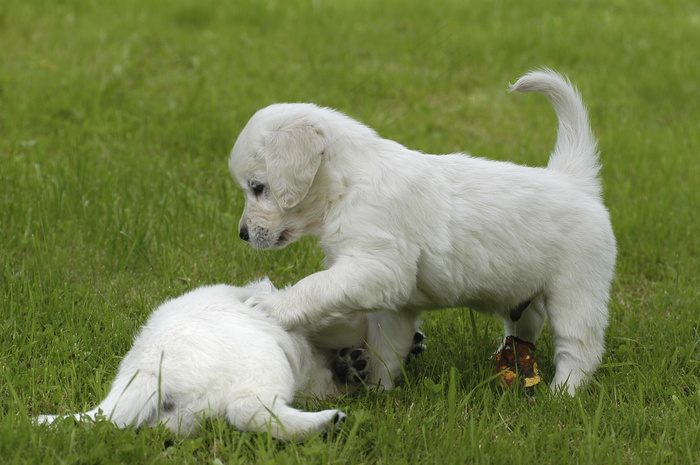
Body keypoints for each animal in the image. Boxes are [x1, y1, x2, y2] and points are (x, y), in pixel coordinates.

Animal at [230, 70, 616, 396]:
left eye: (258, 188)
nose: (243, 235)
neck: (348, 184)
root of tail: (573, 178)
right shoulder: (394, 302)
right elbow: (385, 349)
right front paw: (376, 391)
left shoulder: (378, 265)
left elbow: (316, 286)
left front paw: (271, 305)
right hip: (525, 295)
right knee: (524, 332)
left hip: (576, 292)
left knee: (579, 349)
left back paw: (561, 394)